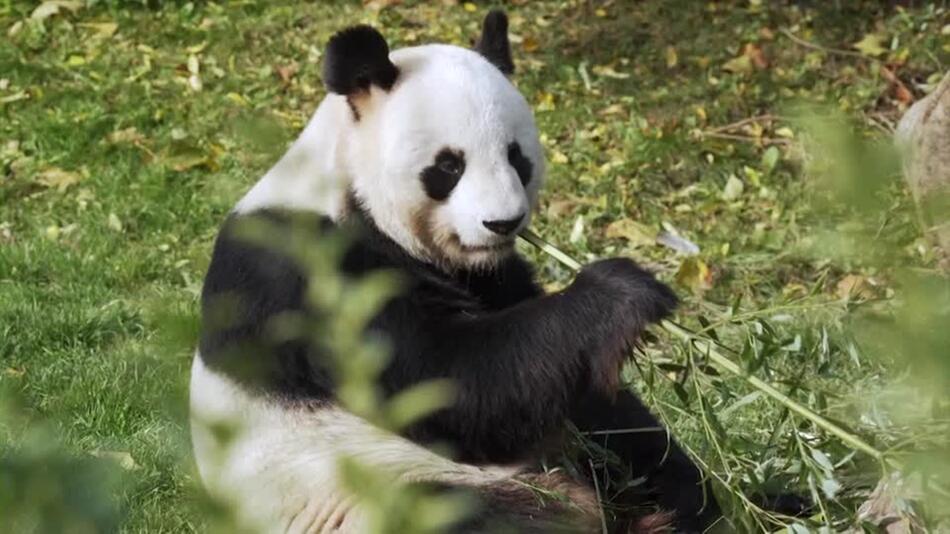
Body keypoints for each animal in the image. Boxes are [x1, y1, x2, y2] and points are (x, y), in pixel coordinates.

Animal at [190, 11, 720, 533]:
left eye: (517, 157)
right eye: (448, 166)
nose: (502, 223)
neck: (348, 193)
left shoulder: (493, 276)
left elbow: (574, 385)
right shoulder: (314, 277)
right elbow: (454, 383)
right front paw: (623, 292)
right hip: (368, 491)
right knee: (465, 513)